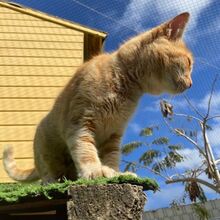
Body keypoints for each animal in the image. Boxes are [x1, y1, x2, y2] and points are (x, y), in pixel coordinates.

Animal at [3, 12, 192, 183]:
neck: (122, 84)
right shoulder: (80, 123)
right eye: (189, 63)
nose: (191, 84)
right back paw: (53, 181)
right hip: (45, 152)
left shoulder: (113, 135)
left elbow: (112, 158)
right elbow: (85, 149)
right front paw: (94, 171)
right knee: (47, 175)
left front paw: (114, 173)